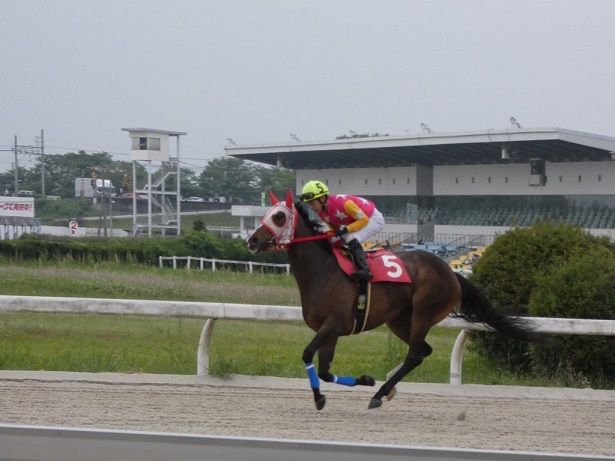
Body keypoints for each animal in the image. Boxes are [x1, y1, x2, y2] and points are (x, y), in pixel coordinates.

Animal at [248, 190, 536, 410]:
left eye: (278, 216)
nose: (252, 240)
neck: (323, 271)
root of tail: (452, 273)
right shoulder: (328, 331)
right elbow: (324, 371)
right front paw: (362, 381)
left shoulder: (334, 325)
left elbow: (308, 354)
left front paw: (321, 397)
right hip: (398, 320)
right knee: (422, 351)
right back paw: (386, 389)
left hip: (422, 314)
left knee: (414, 354)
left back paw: (379, 394)